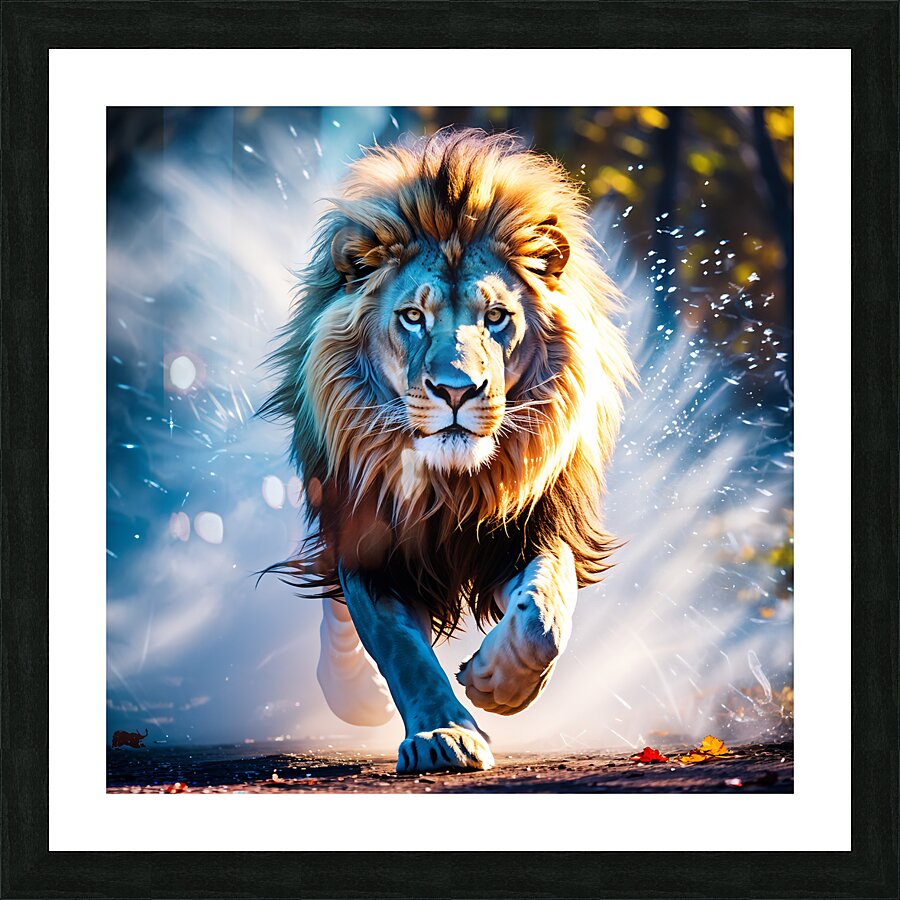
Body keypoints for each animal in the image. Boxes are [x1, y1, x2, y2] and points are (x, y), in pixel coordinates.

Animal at [262, 128, 634, 774]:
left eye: (497, 317)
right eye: (413, 316)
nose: (457, 390)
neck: (451, 483)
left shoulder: (532, 529)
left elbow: (545, 616)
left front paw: (496, 682)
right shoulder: (370, 547)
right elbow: (400, 649)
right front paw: (443, 734)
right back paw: (356, 692)